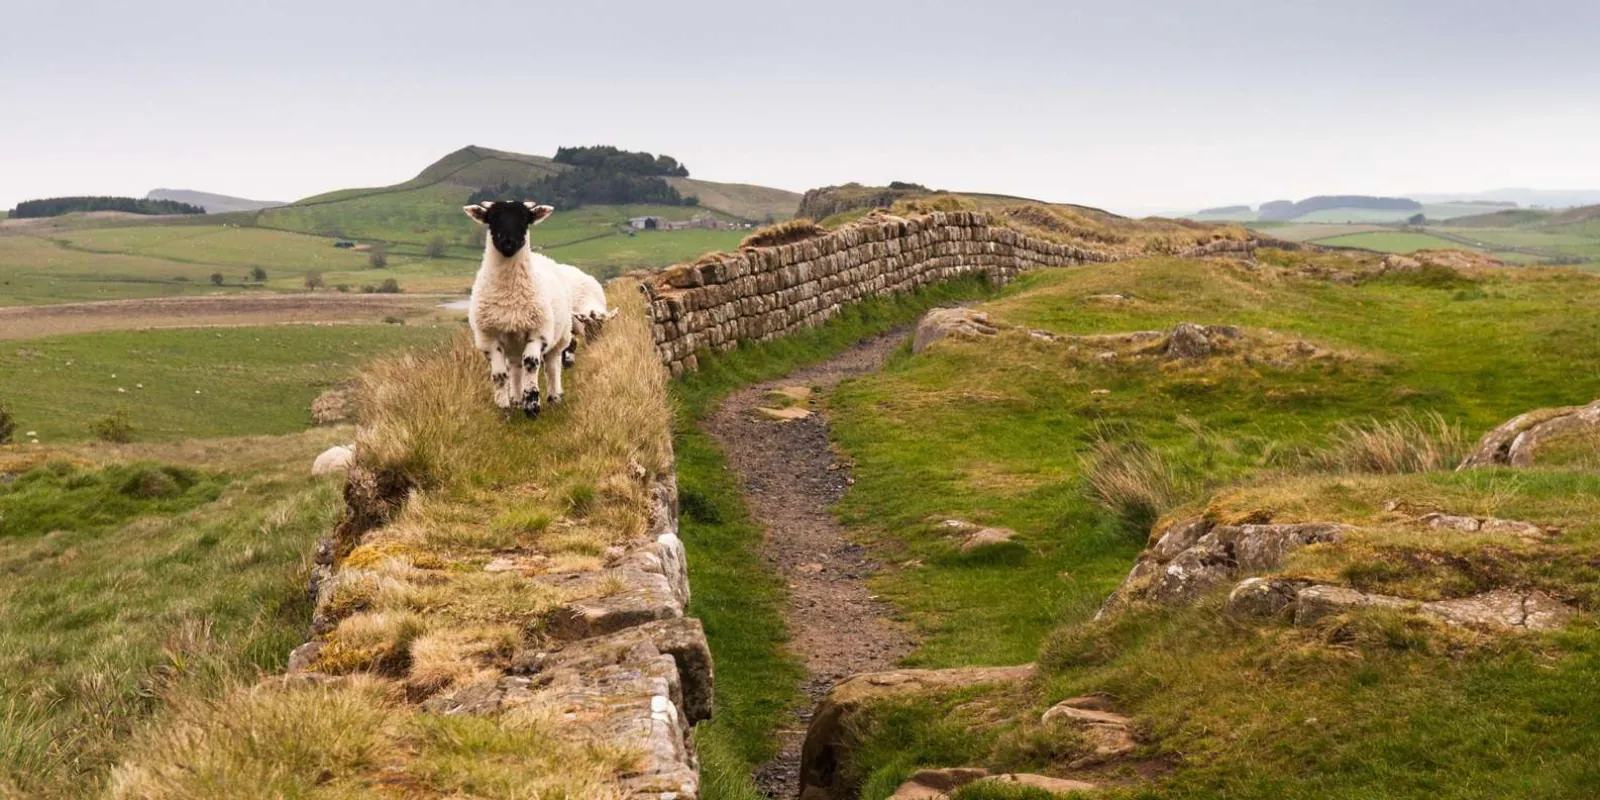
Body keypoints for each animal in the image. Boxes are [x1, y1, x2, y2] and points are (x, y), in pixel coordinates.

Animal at [463, 200, 574, 418]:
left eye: (524, 220)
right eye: (492, 219)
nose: (508, 243)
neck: (509, 296)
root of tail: (541, 256)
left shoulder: (538, 332)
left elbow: (531, 363)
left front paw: (532, 406)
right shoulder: (488, 337)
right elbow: (500, 375)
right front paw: (505, 409)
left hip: (559, 337)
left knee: (551, 365)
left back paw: (553, 397)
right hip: (513, 345)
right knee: (515, 368)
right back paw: (515, 399)